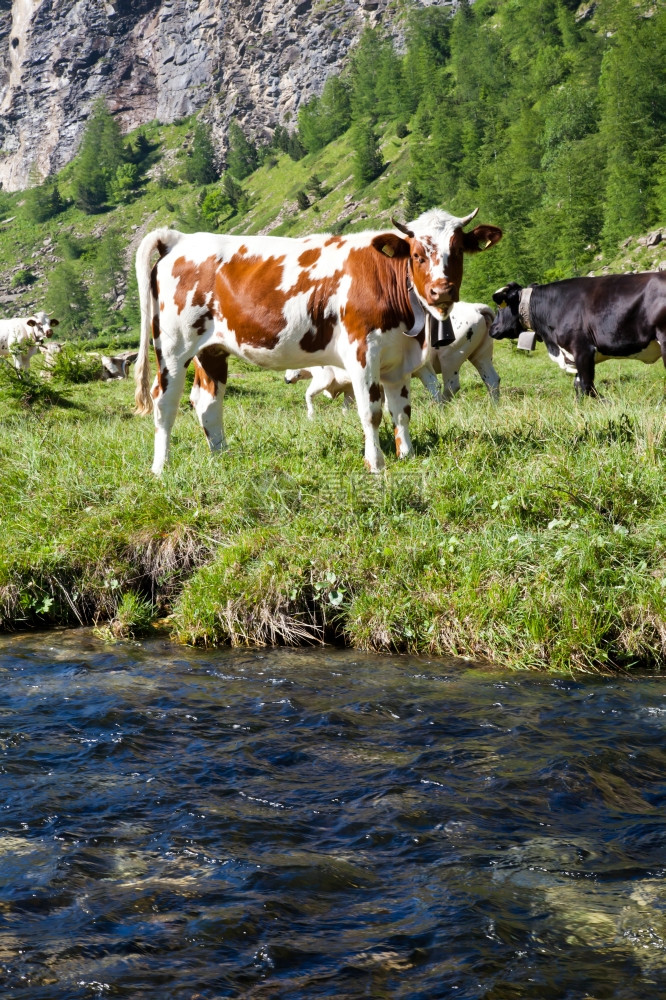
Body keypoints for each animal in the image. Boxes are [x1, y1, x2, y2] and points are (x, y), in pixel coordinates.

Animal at [286, 302, 498, 416]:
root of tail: (476, 307)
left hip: (450, 358)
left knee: (451, 386)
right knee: (491, 380)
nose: (286, 379)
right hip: (481, 355)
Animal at [488, 276, 664, 400]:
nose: (492, 328)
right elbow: (578, 385)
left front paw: (608, 403)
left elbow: (587, 386)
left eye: (499, 307)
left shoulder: (583, 350)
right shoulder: (572, 355)